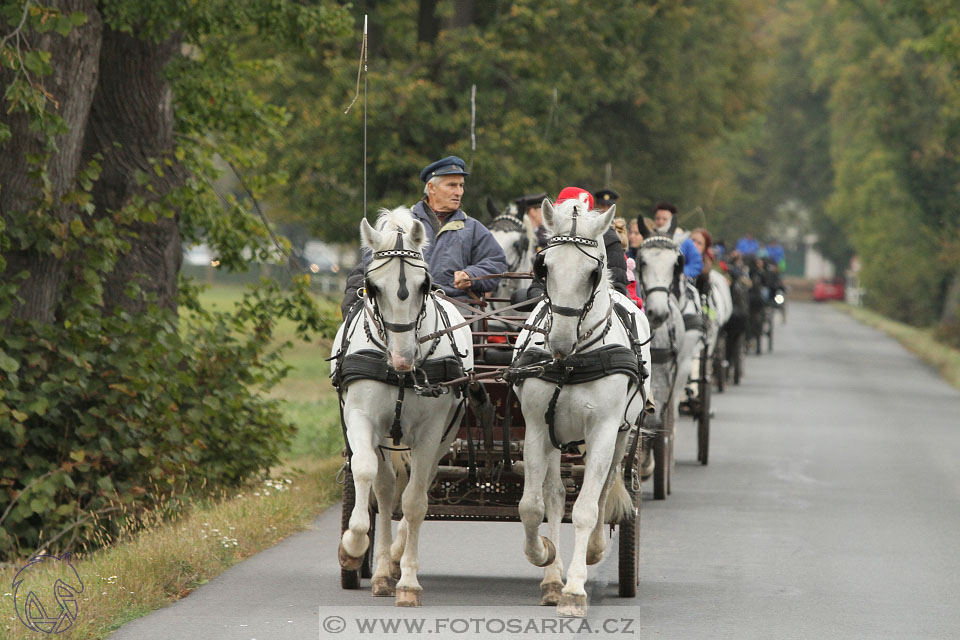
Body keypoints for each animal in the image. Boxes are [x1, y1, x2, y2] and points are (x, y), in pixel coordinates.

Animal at [332, 208, 474, 608]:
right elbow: (365, 474)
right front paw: (352, 546)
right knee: (383, 490)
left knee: (417, 488)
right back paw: (380, 570)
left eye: (424, 285)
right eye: (372, 286)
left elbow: (414, 503)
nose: (403, 358)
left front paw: (408, 581)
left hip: (442, 438)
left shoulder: (429, 434)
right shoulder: (361, 420)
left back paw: (393, 561)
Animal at [510, 199, 644, 616]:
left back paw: (592, 553)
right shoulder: (537, 429)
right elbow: (532, 506)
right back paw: (553, 579)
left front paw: (576, 590)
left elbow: (586, 508)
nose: (559, 342)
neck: (572, 362)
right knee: (555, 495)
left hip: (621, 436)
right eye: (545, 266)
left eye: (593, 272)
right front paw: (544, 555)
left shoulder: (603, 431)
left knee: (604, 492)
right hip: (557, 436)